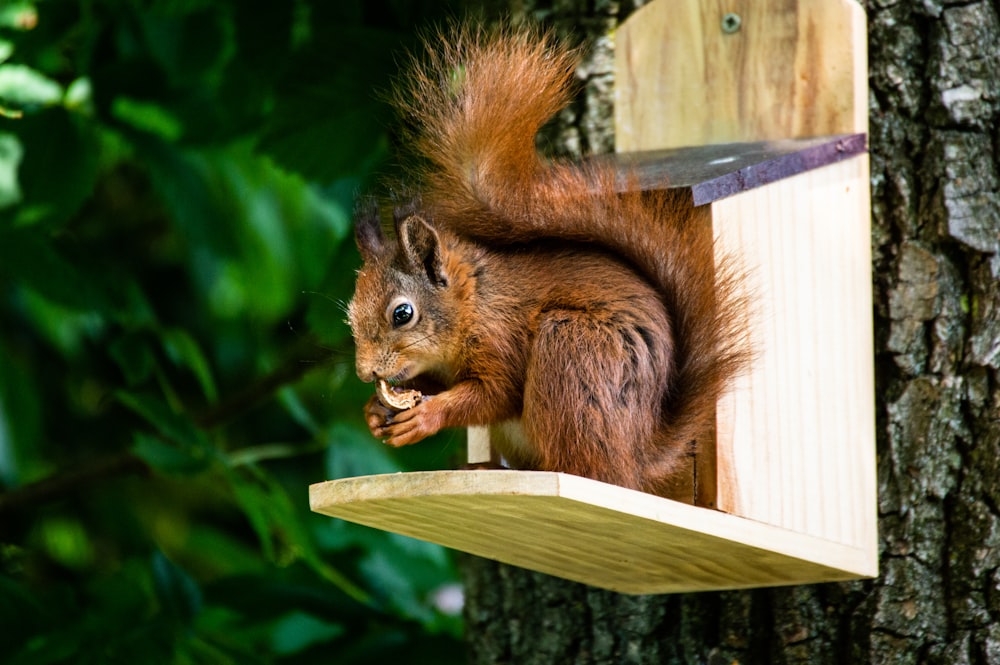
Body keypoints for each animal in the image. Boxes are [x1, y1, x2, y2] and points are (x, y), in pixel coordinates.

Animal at [348, 26, 748, 496]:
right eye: (350, 315)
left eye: (402, 314)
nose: (364, 373)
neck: (474, 301)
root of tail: (639, 454)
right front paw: (374, 411)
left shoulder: (501, 337)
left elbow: (495, 395)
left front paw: (427, 415)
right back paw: (489, 468)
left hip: (571, 349)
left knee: (582, 468)